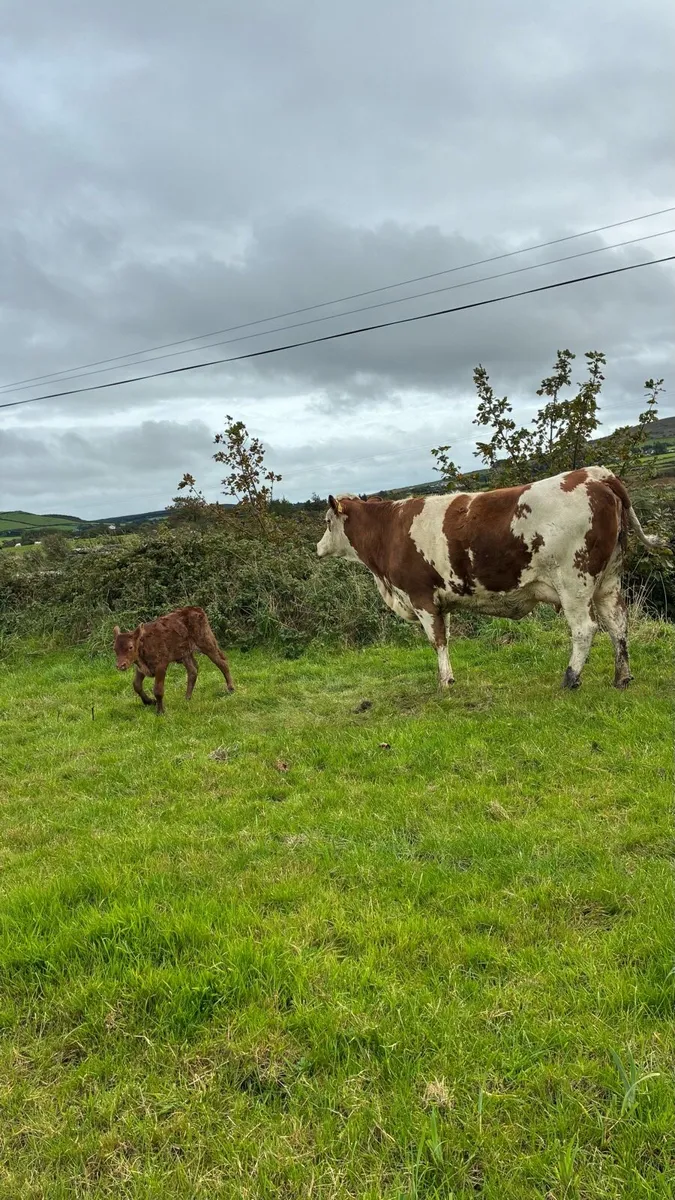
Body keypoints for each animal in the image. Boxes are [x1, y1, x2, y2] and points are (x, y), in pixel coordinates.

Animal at [317, 467, 668, 692]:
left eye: (327, 521)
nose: (317, 547)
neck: (389, 529)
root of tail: (595, 474)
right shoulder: (438, 601)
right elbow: (445, 638)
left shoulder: (421, 596)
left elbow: (437, 640)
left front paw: (445, 682)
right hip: (608, 580)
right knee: (617, 624)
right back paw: (621, 678)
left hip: (575, 582)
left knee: (585, 629)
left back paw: (570, 678)